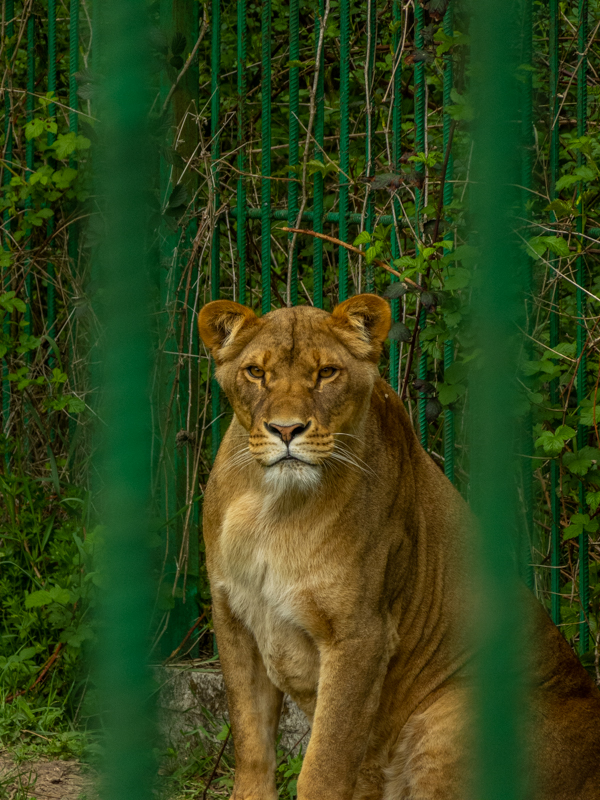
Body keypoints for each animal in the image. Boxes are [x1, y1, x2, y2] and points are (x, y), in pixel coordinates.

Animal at [198, 294, 600, 800]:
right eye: (255, 372)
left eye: (327, 373)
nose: (286, 430)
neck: (273, 507)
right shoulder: (234, 620)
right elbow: (250, 749)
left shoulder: (362, 633)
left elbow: (324, 765)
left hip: (451, 715)